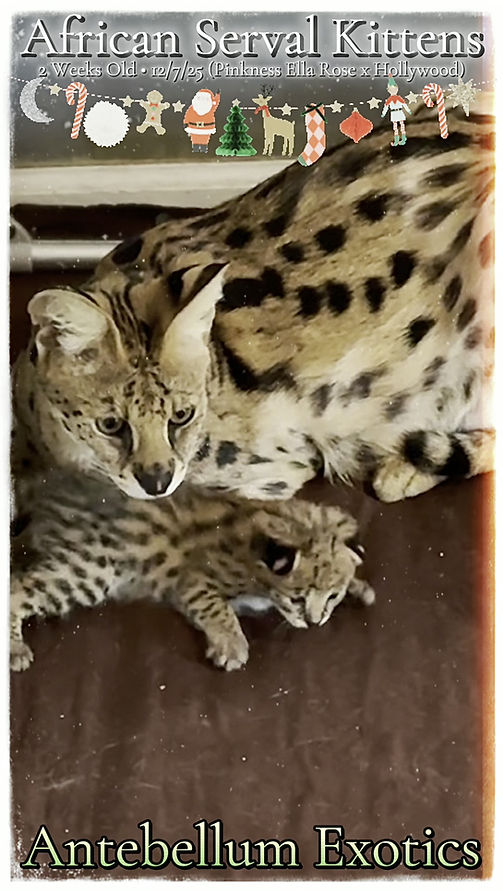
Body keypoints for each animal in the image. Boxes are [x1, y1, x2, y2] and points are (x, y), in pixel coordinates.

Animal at [10, 470, 374, 672]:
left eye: (332, 597)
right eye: (297, 598)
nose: (315, 622)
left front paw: (359, 586)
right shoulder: (194, 581)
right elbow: (219, 609)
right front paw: (232, 645)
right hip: (91, 571)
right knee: (17, 590)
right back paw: (15, 649)